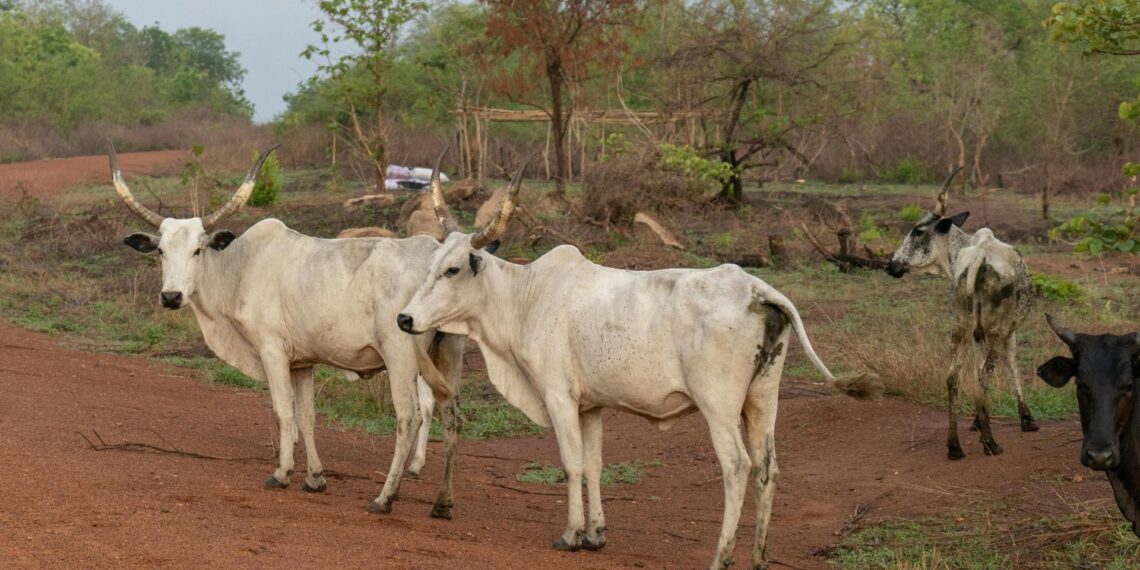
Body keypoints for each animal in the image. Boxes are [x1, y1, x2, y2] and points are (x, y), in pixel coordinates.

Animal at [111, 144, 464, 519]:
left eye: (197, 250)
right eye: (161, 251)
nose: (171, 296)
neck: (239, 267)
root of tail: (436, 254)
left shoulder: (272, 352)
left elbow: (282, 410)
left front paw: (281, 473)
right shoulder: (302, 363)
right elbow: (306, 416)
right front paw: (314, 478)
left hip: (401, 358)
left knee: (409, 417)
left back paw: (386, 496)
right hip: (448, 353)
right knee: (452, 416)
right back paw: (443, 502)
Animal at [395, 167, 882, 570]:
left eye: (453, 269)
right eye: (431, 265)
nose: (405, 319)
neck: (526, 296)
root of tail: (755, 289)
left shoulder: (558, 396)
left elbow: (571, 462)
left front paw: (570, 534)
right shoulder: (590, 406)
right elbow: (594, 464)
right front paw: (595, 534)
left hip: (719, 406)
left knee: (737, 467)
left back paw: (721, 557)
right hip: (763, 400)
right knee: (768, 468)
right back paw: (759, 559)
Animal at [885, 167, 1038, 460]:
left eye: (918, 231)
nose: (891, 265)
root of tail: (979, 258)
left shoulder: (978, 333)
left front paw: (978, 420)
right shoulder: (1009, 330)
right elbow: (1012, 364)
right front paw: (1026, 418)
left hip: (961, 327)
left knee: (953, 377)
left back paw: (954, 445)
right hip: (994, 328)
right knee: (983, 374)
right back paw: (990, 442)